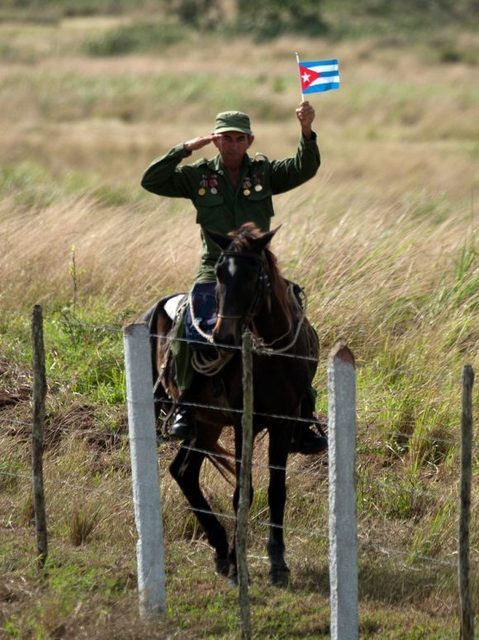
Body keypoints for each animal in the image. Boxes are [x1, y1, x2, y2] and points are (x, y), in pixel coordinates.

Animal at [144, 224, 320, 584]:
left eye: (254, 275)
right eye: (220, 274)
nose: (223, 337)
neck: (272, 355)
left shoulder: (283, 421)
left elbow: (276, 490)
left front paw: (278, 562)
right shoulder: (243, 424)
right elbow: (243, 492)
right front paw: (241, 566)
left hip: (207, 424)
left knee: (183, 472)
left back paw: (220, 548)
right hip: (195, 418)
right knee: (182, 470)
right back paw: (223, 550)